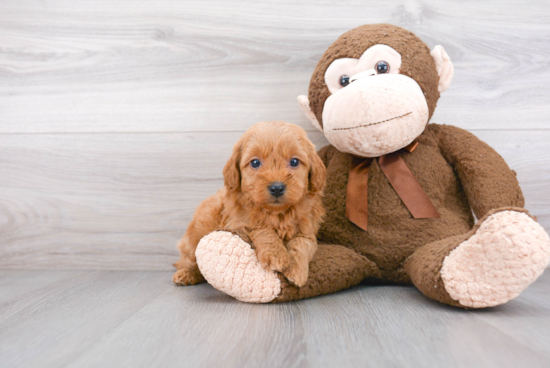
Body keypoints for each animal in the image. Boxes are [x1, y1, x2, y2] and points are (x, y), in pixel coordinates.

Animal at [175, 121, 326, 288]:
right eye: (255, 162)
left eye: (294, 161)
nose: (277, 187)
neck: (277, 214)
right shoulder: (239, 223)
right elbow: (262, 229)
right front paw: (276, 256)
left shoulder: (307, 229)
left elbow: (302, 243)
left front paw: (296, 269)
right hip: (196, 236)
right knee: (191, 260)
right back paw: (186, 274)